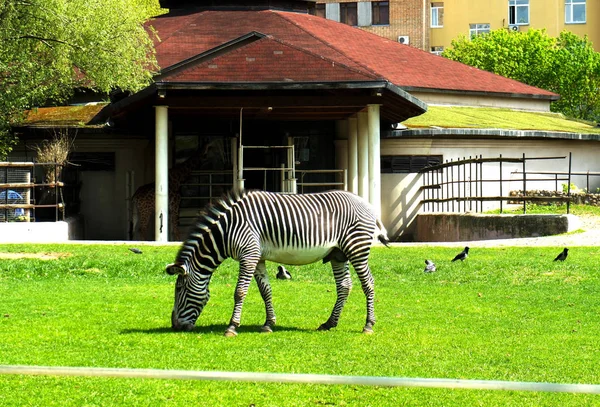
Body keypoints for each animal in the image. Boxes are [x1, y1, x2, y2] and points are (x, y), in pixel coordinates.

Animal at [165, 190, 390, 338]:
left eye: (179, 289)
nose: (175, 326)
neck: (226, 230)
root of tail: (367, 204)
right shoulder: (258, 258)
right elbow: (266, 291)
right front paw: (268, 324)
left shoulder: (248, 255)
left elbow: (239, 292)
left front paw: (232, 327)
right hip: (338, 254)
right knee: (344, 286)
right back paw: (329, 323)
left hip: (356, 248)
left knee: (368, 284)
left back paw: (368, 325)